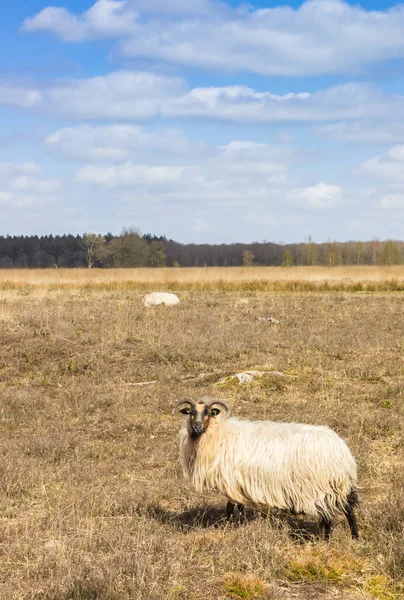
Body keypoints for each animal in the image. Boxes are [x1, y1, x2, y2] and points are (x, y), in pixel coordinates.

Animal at [172, 396, 358, 540]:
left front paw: (229, 525)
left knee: (334, 514)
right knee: (346, 509)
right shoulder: (240, 481)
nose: (197, 426)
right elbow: (240, 507)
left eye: (208, 413)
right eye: (191, 412)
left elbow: (231, 508)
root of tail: (341, 450)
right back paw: (348, 538)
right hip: (336, 485)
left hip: (321, 486)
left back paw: (335, 540)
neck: (217, 434)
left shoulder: (230, 481)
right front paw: (240, 524)